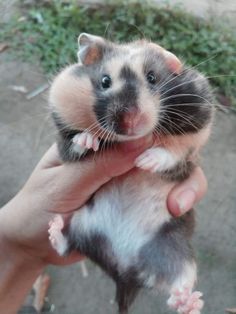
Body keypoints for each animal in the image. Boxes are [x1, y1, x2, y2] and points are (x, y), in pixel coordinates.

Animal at [48, 33, 214, 314]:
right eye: (104, 81)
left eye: (152, 77)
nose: (130, 123)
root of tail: (124, 274)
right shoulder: (62, 129)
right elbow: (72, 144)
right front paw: (89, 140)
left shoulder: (199, 113)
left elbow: (173, 150)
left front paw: (145, 161)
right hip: (83, 226)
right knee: (67, 247)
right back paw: (54, 228)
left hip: (175, 249)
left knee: (179, 281)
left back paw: (188, 301)